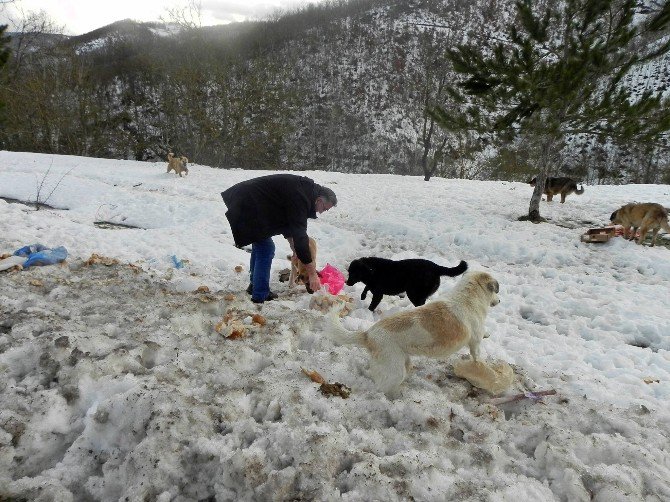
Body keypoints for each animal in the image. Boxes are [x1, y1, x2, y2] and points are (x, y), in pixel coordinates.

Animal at [328, 272, 502, 394]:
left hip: (403, 362)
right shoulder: (475, 343)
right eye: (495, 291)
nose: (499, 301)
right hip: (395, 371)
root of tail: (369, 334)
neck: (467, 297)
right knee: (380, 389)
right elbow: (477, 357)